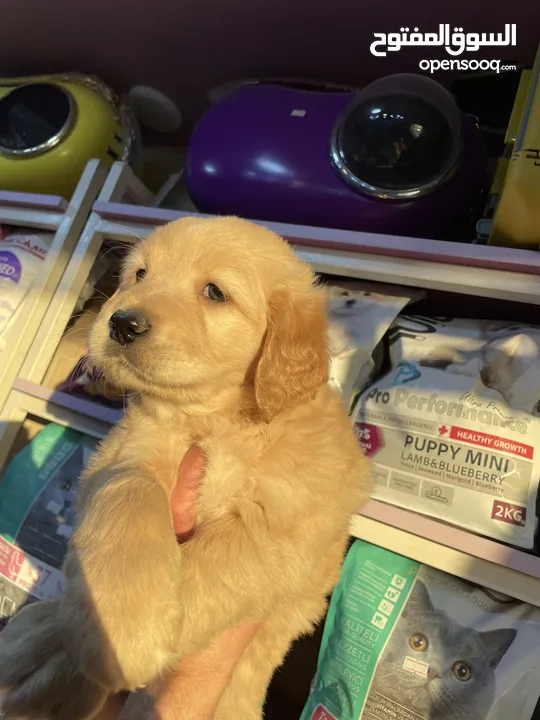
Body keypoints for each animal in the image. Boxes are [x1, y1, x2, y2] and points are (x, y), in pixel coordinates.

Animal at [0, 217, 372, 716]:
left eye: (215, 292)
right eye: (139, 274)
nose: (122, 322)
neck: (216, 419)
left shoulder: (290, 528)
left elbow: (220, 562)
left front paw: (119, 636)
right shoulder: (127, 448)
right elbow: (130, 489)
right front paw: (125, 615)